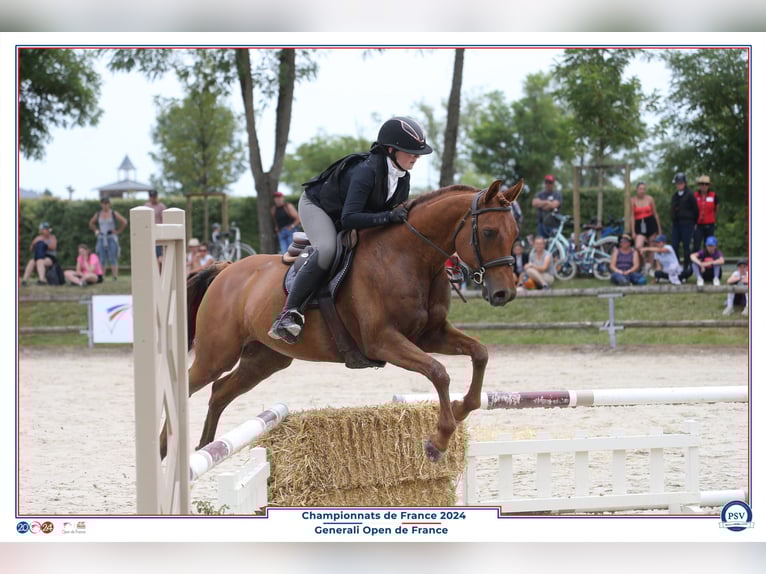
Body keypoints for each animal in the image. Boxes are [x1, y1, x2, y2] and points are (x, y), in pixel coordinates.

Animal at [182, 179, 523, 462]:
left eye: (516, 234)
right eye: (489, 232)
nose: (504, 293)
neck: (411, 257)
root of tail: (227, 268)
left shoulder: (431, 335)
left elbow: (479, 353)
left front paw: (460, 408)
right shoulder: (383, 341)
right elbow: (438, 372)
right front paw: (437, 442)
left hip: (265, 359)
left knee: (220, 391)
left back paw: (203, 449)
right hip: (217, 354)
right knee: (192, 384)